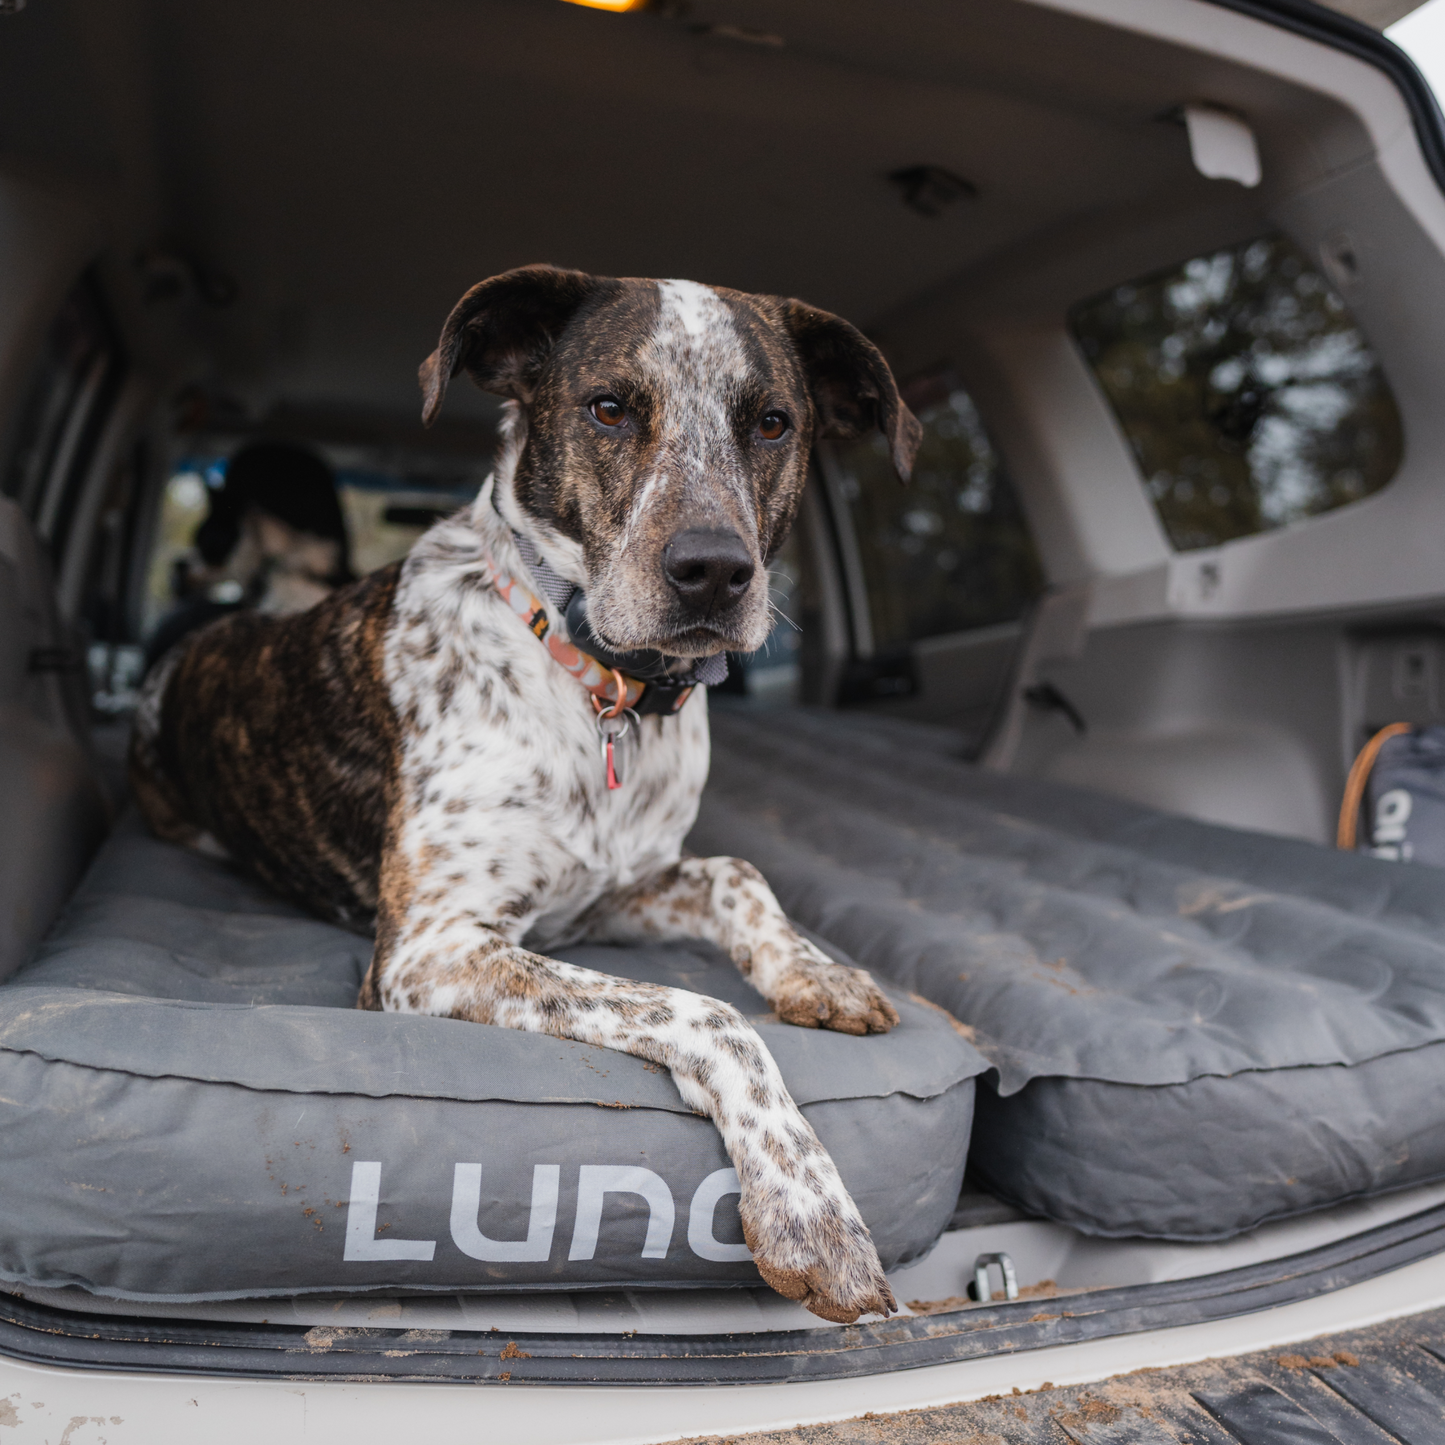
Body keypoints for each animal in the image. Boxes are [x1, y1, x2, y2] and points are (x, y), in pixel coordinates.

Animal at [130, 262, 919, 1323]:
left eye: (771, 423)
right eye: (608, 407)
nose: (713, 570)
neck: (603, 692)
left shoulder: (611, 893)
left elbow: (737, 873)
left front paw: (812, 970)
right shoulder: (432, 949)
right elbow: (706, 1013)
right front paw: (809, 1210)